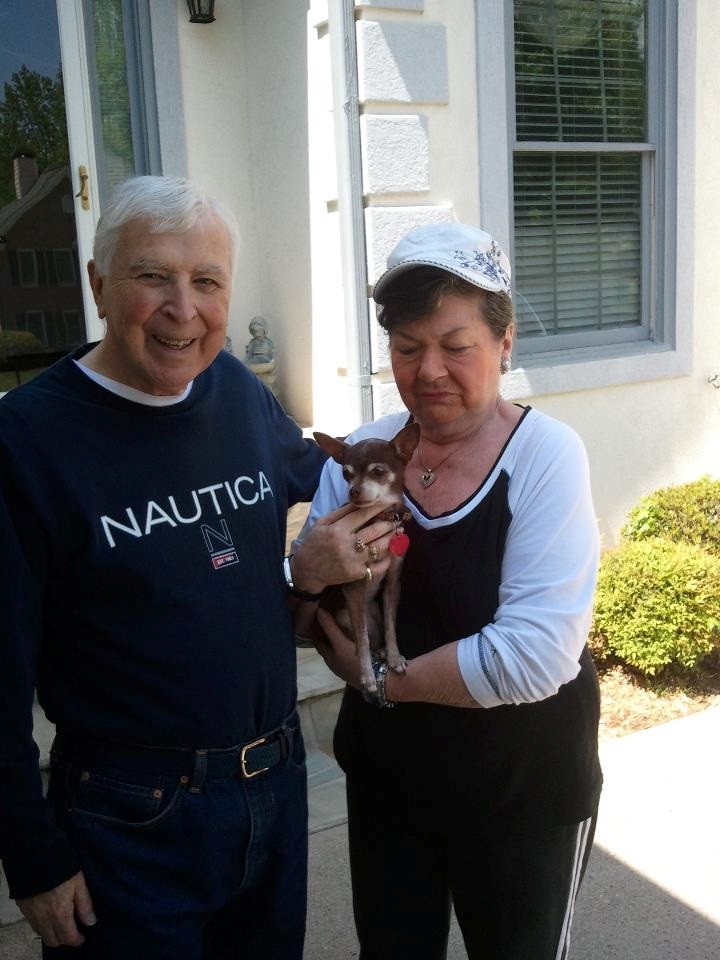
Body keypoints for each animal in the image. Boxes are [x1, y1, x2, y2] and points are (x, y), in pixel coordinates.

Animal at [311, 422, 420, 693]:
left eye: (378, 471)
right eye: (346, 474)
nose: (353, 491)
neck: (379, 516)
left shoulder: (392, 583)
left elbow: (391, 625)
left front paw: (394, 656)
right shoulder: (354, 589)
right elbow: (361, 639)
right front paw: (366, 675)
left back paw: (382, 652)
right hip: (347, 613)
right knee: (363, 636)